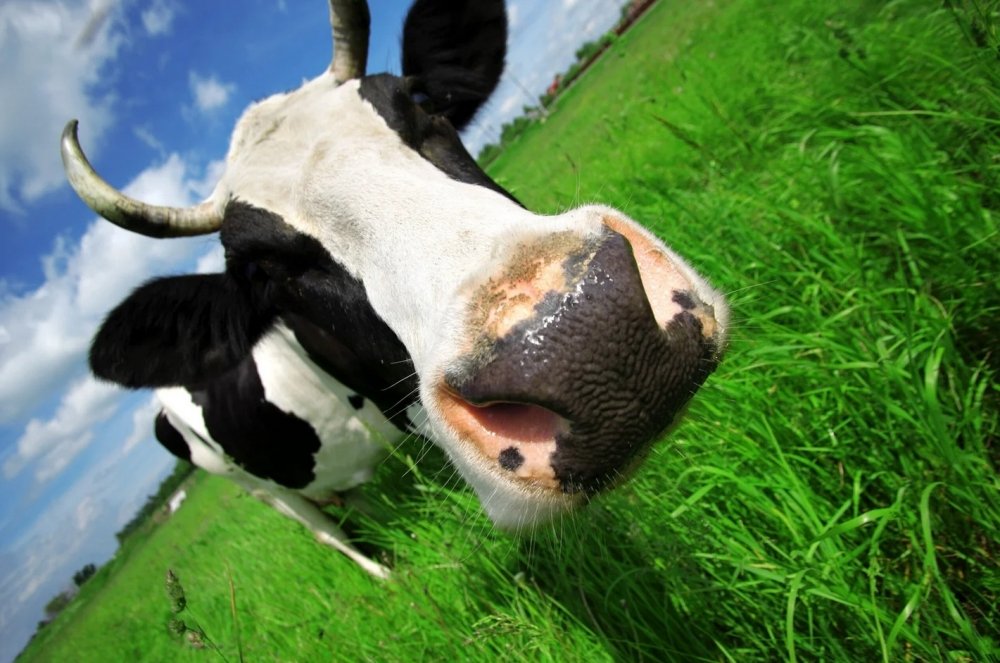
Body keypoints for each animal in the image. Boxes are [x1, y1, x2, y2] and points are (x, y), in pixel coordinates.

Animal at [60, 0, 729, 579]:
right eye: (260, 269)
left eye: (421, 102)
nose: (589, 338)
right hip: (256, 487)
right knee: (326, 532)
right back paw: (385, 574)